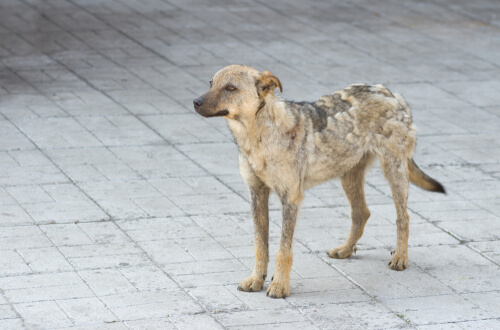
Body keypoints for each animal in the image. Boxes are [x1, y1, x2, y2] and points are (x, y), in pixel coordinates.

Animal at [192, 64, 446, 300]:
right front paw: (256, 280)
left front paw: (279, 286)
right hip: (348, 175)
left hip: (393, 171)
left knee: (403, 217)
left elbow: (283, 250)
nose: (195, 101)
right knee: (362, 213)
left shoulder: (290, 198)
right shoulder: (256, 194)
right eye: (211, 83)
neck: (258, 137)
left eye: (230, 88)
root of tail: (391, 93)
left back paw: (400, 257)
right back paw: (345, 250)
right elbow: (260, 246)